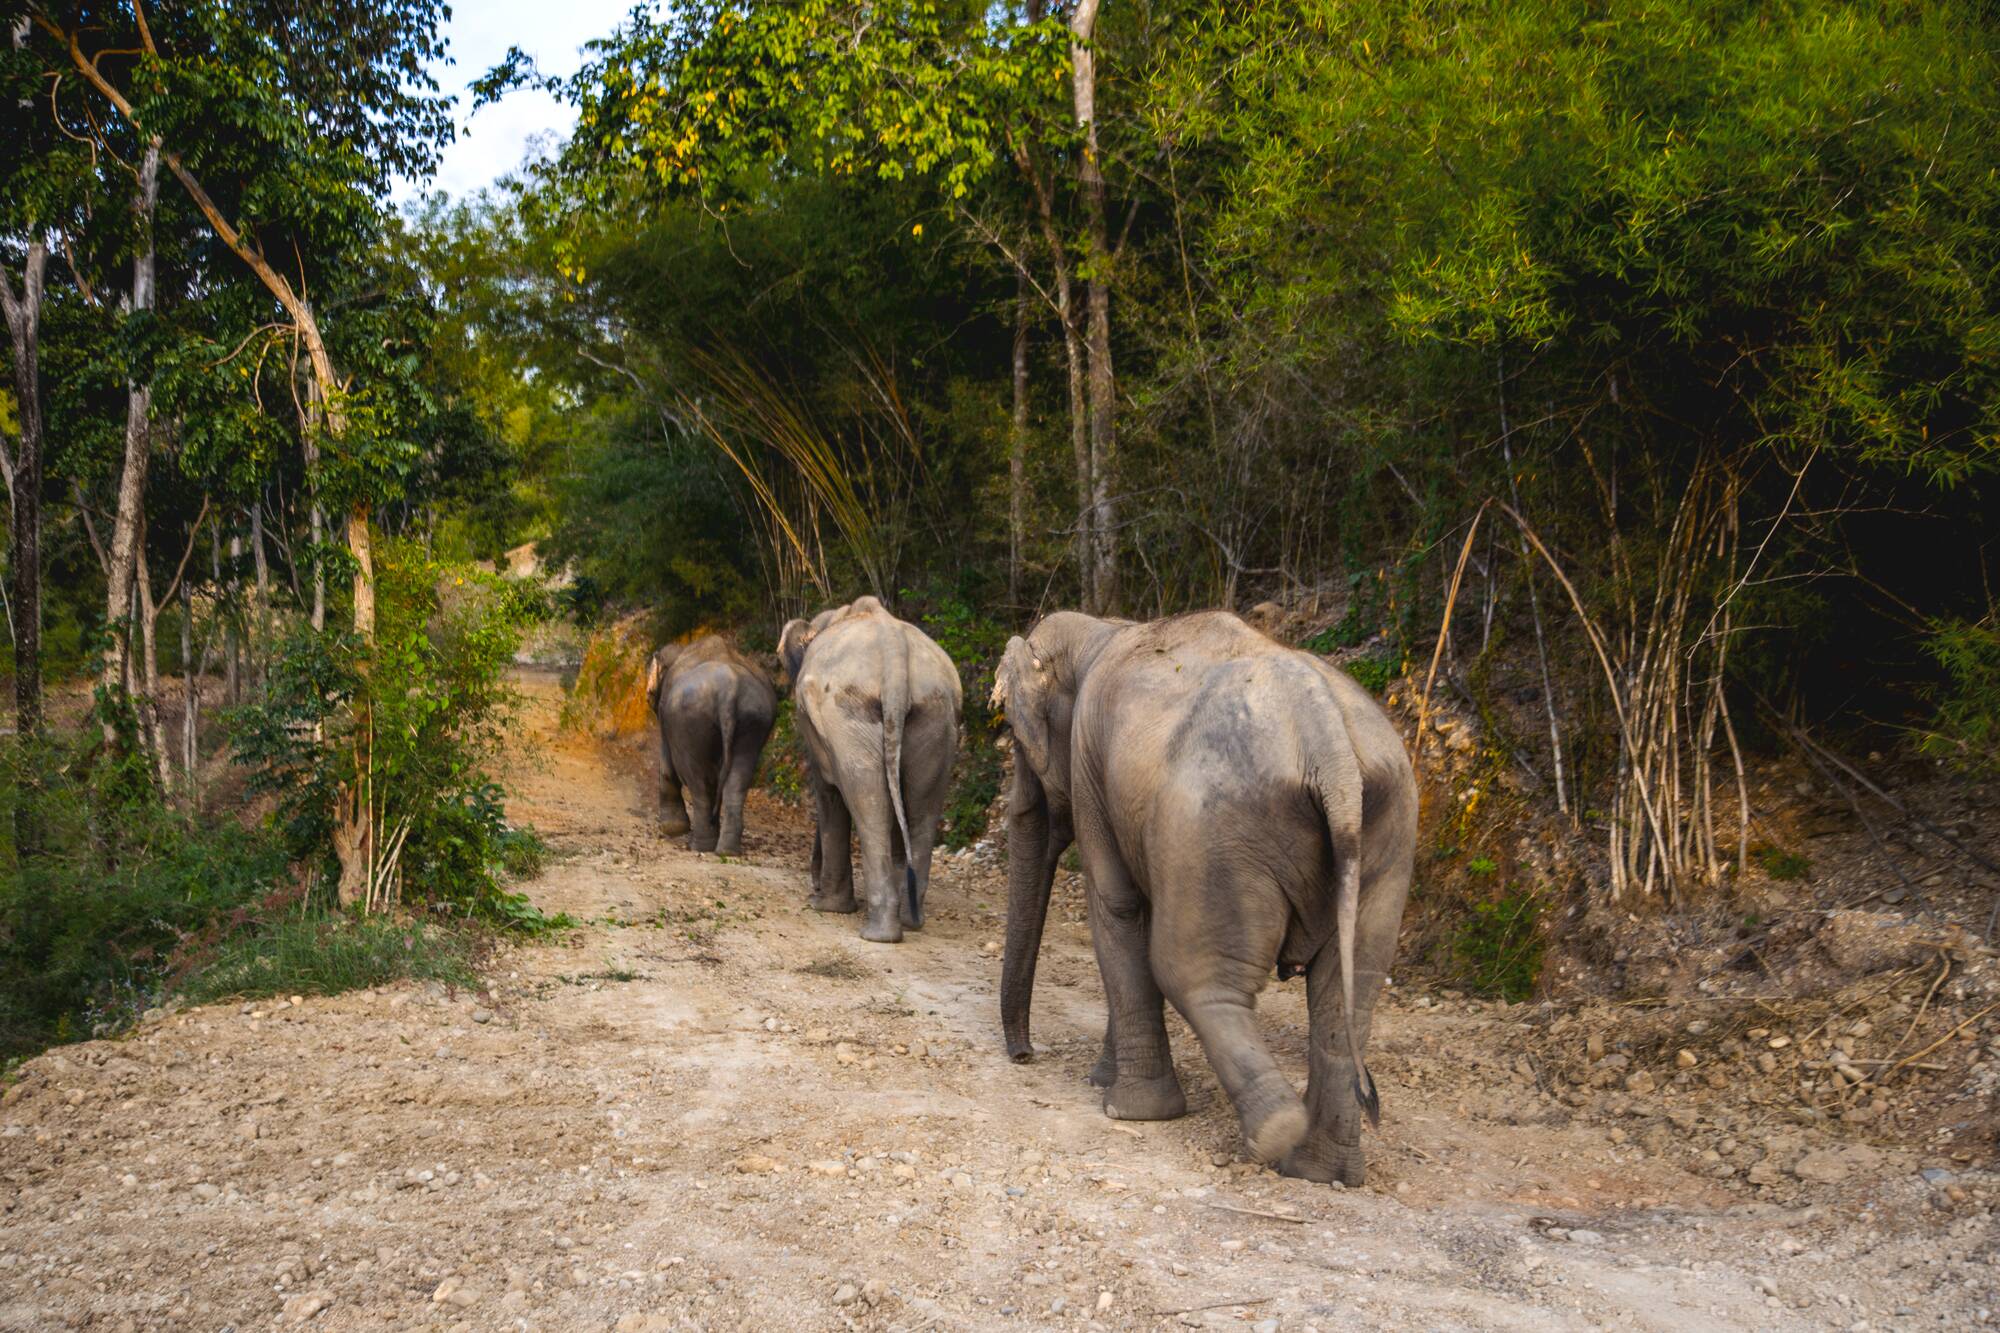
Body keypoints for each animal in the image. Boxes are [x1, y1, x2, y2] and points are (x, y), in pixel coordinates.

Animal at [645, 634, 778, 855]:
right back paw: (726, 851)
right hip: (753, 721)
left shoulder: (665, 716)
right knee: (737, 782)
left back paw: (701, 846)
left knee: (699, 782)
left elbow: (667, 765)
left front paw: (672, 829)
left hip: (690, 722)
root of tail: (729, 691)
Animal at [779, 596, 961, 943]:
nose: (813, 884)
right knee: (921, 808)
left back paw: (878, 934)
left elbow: (828, 793)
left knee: (866, 801)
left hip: (847, 715)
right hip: (936, 716)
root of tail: (894, 654)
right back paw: (910, 919)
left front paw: (825, 906)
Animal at [991, 610, 1417, 1185]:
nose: (1025, 1055)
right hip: (1387, 837)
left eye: (1015, 737)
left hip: (1215, 832)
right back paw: (1319, 1170)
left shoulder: (1089, 766)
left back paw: (1278, 1129)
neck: (1104, 628)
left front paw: (1124, 1106)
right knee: (1346, 994)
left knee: (1192, 972)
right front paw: (1104, 1079)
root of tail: (1329, 748)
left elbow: (1118, 906)